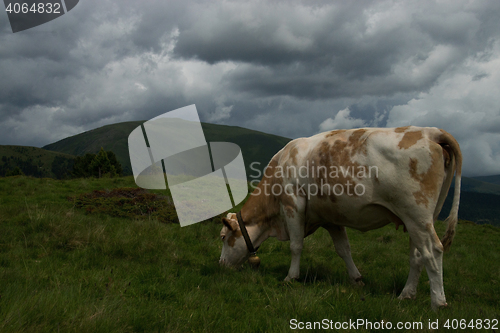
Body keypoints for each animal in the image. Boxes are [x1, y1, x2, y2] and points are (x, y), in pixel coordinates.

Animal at [219, 126, 460, 310]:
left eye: (222, 237)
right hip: (421, 218)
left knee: (432, 251)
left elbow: (296, 246)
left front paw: (291, 277)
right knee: (417, 256)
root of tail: (430, 131)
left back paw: (438, 302)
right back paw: (406, 294)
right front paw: (356, 279)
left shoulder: (293, 204)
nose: (220, 264)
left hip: (415, 213)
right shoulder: (330, 218)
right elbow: (344, 249)